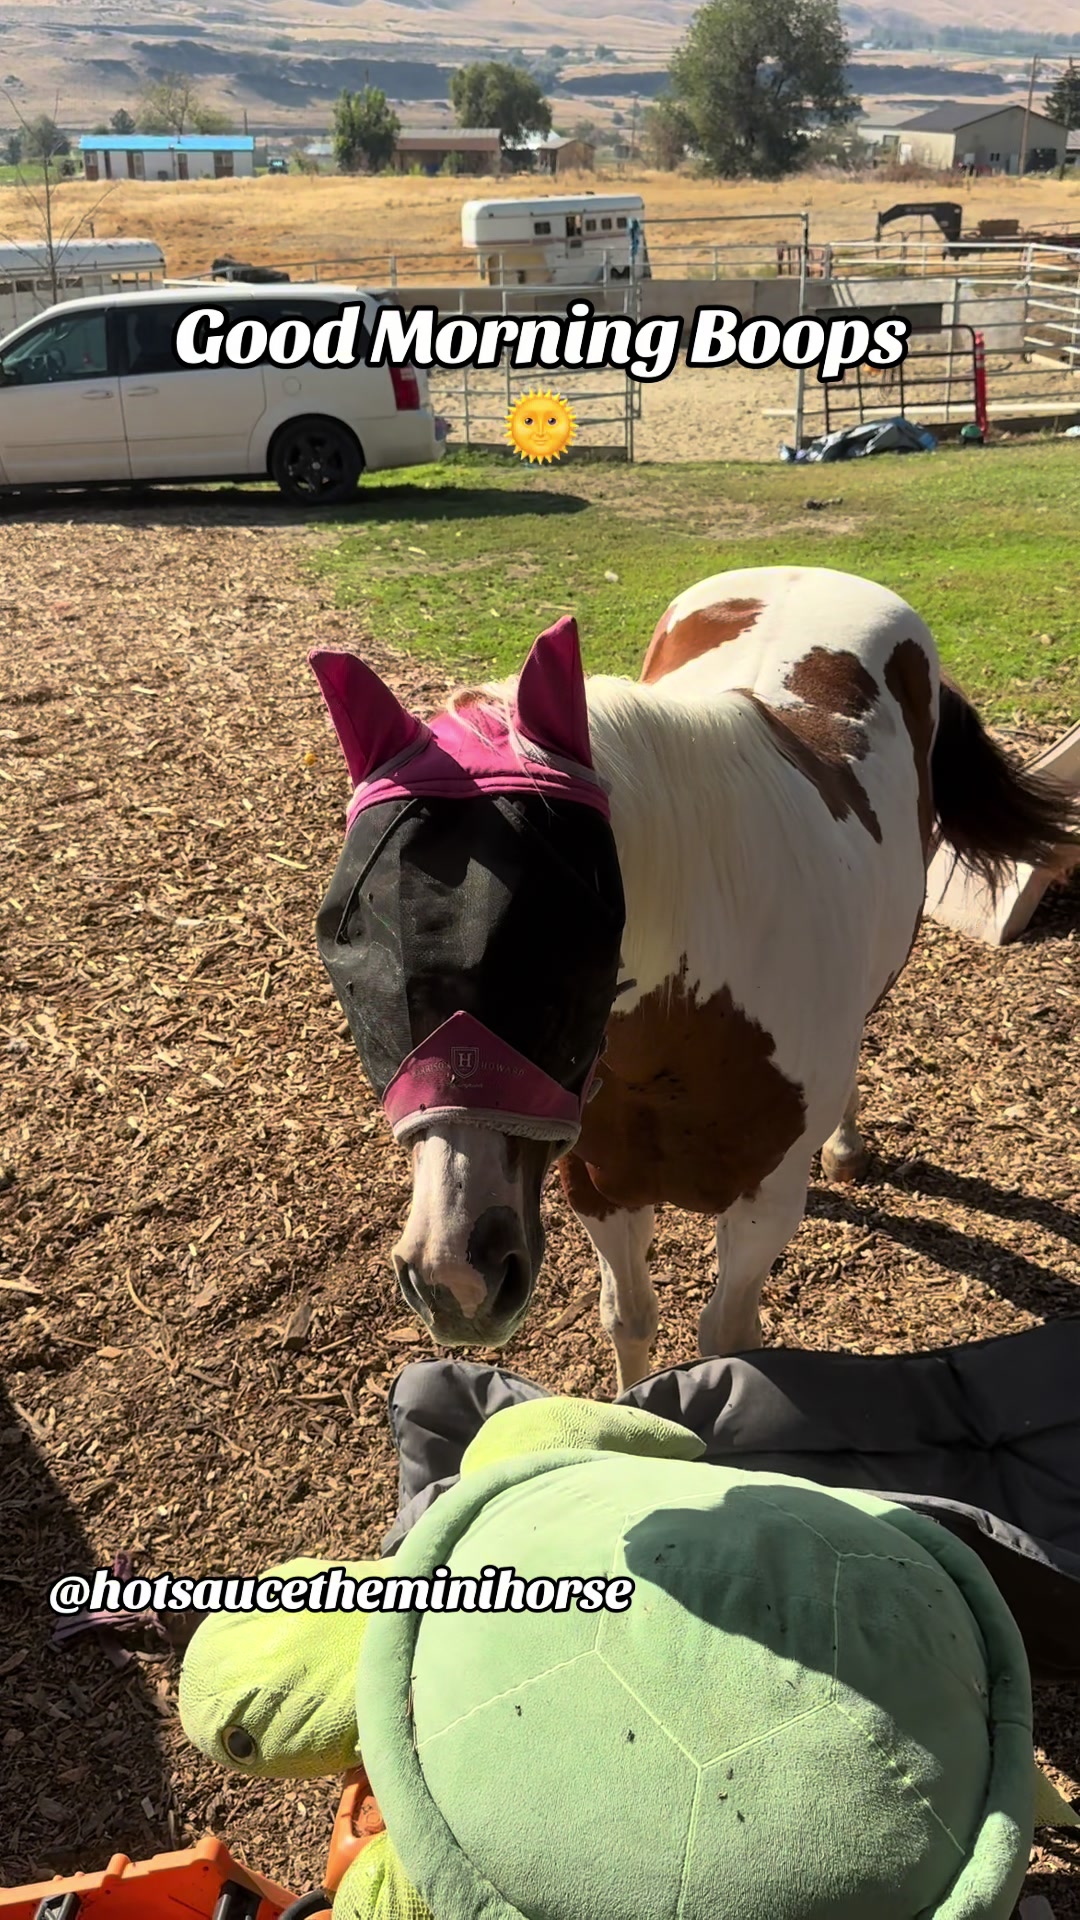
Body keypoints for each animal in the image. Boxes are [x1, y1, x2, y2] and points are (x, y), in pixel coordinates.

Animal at [311, 565, 1078, 1394]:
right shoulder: (596, 1184)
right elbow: (630, 1318)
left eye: (566, 934)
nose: (455, 1275)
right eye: (347, 949)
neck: (686, 1022)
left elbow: (726, 1339)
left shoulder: (763, 1205)